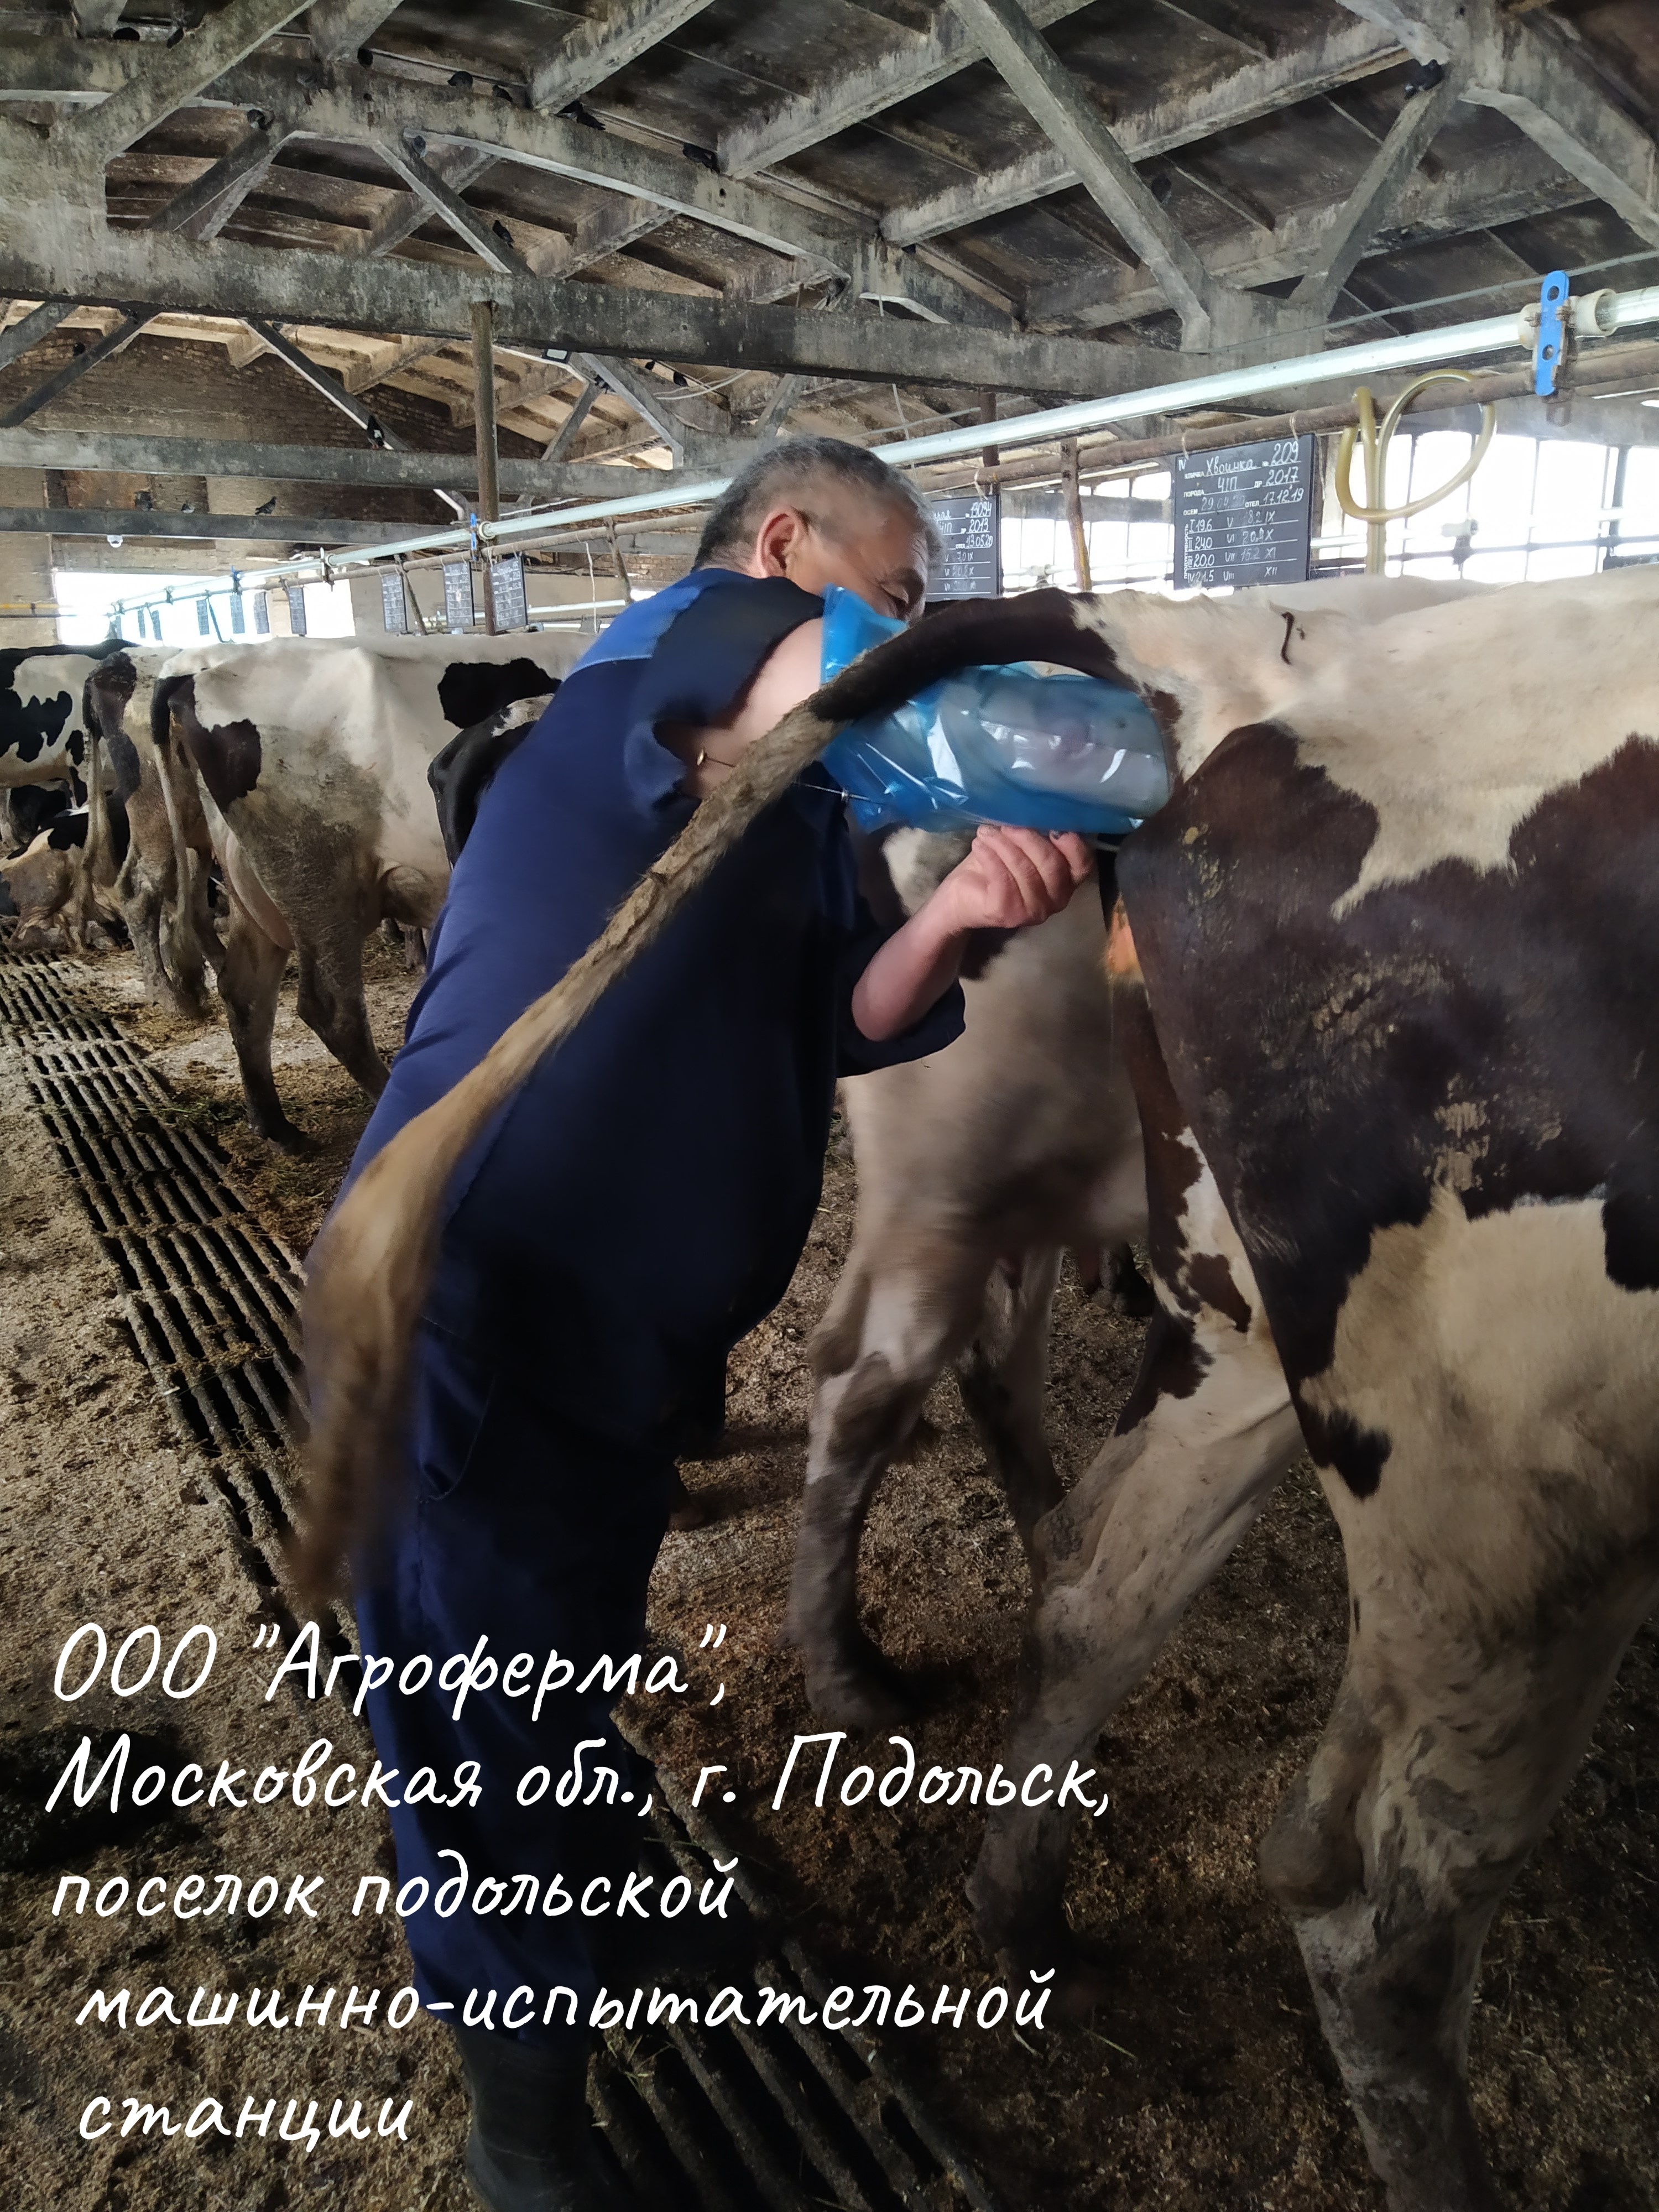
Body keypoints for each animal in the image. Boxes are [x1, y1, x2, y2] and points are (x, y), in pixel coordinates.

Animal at [115, 634, 586, 1148]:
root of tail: (190, 670)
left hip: (251, 889)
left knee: (244, 991)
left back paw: (278, 1127)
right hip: (316, 879)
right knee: (332, 1010)